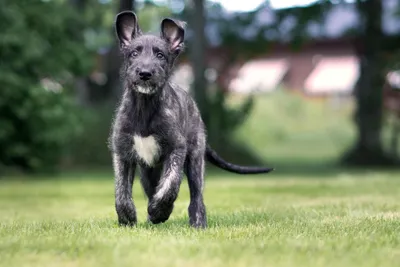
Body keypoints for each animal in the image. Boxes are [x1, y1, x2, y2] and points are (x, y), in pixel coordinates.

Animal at [108, 9, 274, 228]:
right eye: (134, 53)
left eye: (160, 55)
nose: (145, 73)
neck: (144, 108)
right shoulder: (122, 152)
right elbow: (121, 190)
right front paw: (127, 217)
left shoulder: (176, 148)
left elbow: (170, 185)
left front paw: (160, 210)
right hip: (148, 172)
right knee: (152, 189)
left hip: (195, 158)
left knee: (196, 195)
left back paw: (197, 222)